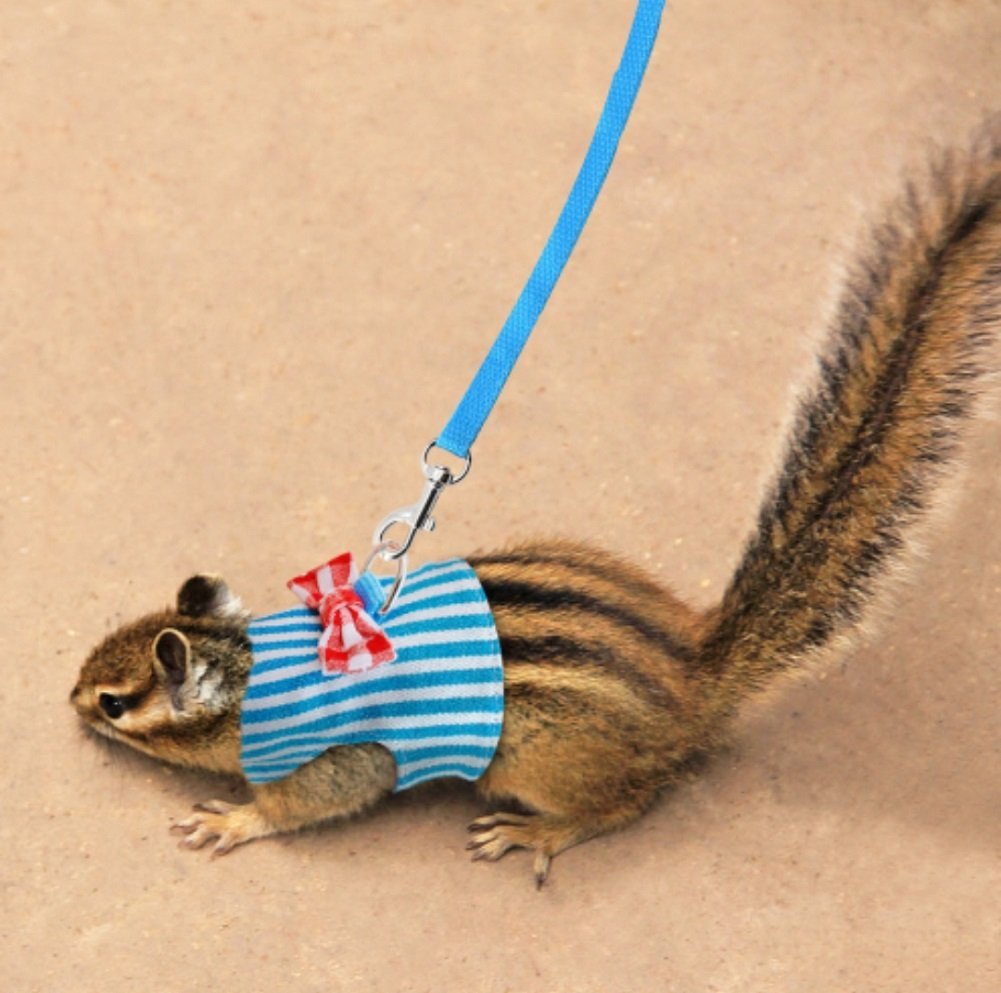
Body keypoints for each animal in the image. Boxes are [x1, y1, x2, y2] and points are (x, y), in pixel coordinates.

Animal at [71, 120, 1001, 886]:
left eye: (113, 702)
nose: (70, 700)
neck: (248, 669)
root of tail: (694, 674)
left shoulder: (340, 756)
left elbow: (308, 801)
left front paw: (235, 818)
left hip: (542, 760)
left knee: (629, 800)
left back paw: (538, 834)